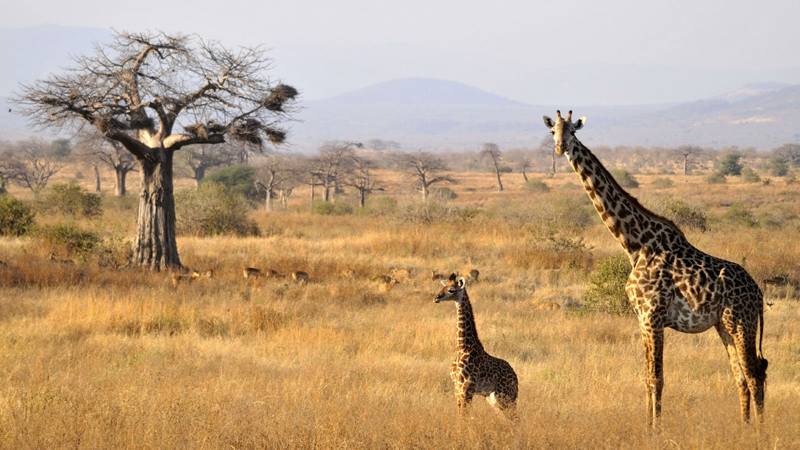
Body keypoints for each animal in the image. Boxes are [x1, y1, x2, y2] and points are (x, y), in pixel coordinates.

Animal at [434, 272, 520, 420]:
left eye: (451, 290)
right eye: (443, 287)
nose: (436, 298)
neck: (463, 347)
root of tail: (515, 377)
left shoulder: (467, 388)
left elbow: (464, 417)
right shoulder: (457, 388)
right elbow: (460, 416)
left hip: (505, 395)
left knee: (515, 418)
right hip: (493, 398)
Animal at [544, 110, 768, 428]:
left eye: (573, 132)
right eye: (553, 131)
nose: (560, 148)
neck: (635, 245)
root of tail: (758, 293)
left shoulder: (653, 316)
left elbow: (657, 378)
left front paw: (655, 429)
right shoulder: (641, 319)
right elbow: (647, 378)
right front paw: (648, 425)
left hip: (741, 323)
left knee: (754, 375)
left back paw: (759, 431)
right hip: (723, 326)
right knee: (740, 376)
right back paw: (744, 426)